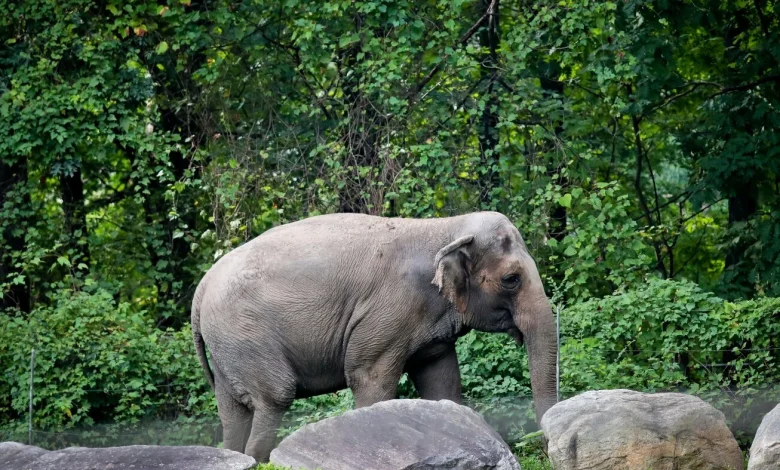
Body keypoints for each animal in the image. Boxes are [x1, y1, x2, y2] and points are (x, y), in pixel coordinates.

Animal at [191, 211, 558, 461]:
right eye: (511, 279)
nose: (543, 446)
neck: (445, 227)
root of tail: (202, 286)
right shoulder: (388, 313)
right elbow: (369, 378)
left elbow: (442, 382)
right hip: (246, 334)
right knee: (274, 397)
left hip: (227, 346)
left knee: (233, 412)